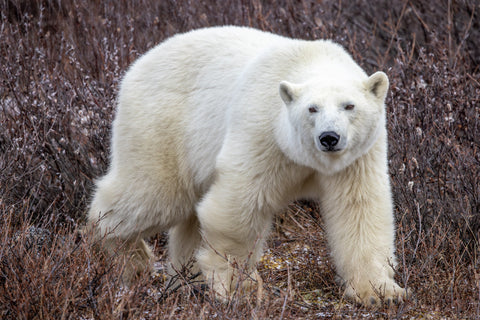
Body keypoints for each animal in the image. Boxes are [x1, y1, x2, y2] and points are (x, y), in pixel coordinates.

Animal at [89, 25, 404, 304]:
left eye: (349, 106)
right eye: (312, 109)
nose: (329, 137)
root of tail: (136, 65)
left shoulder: (358, 157)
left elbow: (360, 209)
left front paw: (379, 292)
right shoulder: (262, 131)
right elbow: (240, 205)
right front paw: (240, 288)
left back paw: (185, 280)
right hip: (162, 124)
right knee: (155, 195)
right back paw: (132, 258)